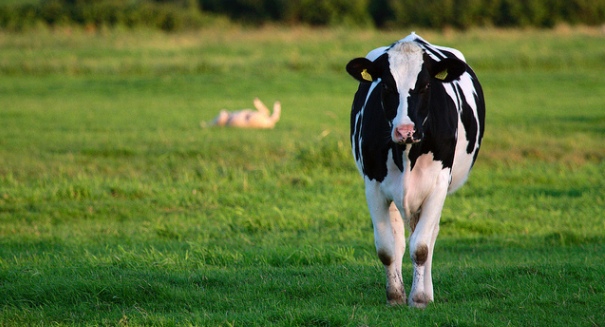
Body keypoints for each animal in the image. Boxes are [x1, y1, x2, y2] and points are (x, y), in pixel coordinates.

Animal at [344, 32, 486, 308]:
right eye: (386, 87)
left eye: (426, 86)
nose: (405, 130)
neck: (407, 153)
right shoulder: (373, 186)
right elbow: (387, 249)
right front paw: (395, 296)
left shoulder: (438, 185)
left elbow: (421, 247)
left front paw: (419, 298)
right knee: (400, 240)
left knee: (429, 237)